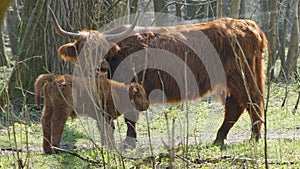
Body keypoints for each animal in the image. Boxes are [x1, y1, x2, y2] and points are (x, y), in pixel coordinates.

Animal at [48, 7, 268, 145]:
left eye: (103, 49)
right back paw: (220, 138)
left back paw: (254, 137)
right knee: (236, 105)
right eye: (82, 50)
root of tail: (248, 24)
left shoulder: (132, 87)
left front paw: (129, 143)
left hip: (242, 76)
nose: (97, 67)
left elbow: (130, 116)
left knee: (251, 101)